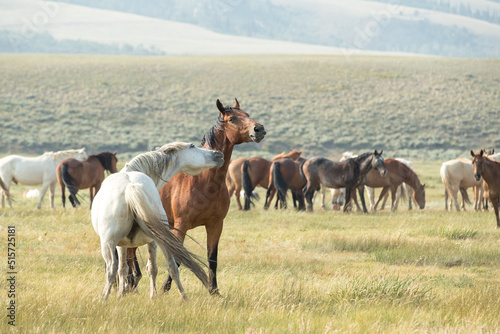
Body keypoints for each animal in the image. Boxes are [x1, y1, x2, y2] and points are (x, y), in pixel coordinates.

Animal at [91, 142, 224, 300]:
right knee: (171, 266)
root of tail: (130, 187)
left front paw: (127, 295)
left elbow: (133, 269)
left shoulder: (129, 244)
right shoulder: (133, 243)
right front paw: (125, 295)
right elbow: (130, 269)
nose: (218, 154)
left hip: (112, 243)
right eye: (192, 146)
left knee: (113, 270)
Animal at [156, 98, 266, 294]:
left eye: (247, 114)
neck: (203, 182)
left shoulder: (215, 225)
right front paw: (165, 288)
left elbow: (212, 258)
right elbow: (178, 258)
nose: (259, 129)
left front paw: (214, 291)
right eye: (231, 119)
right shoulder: (181, 225)